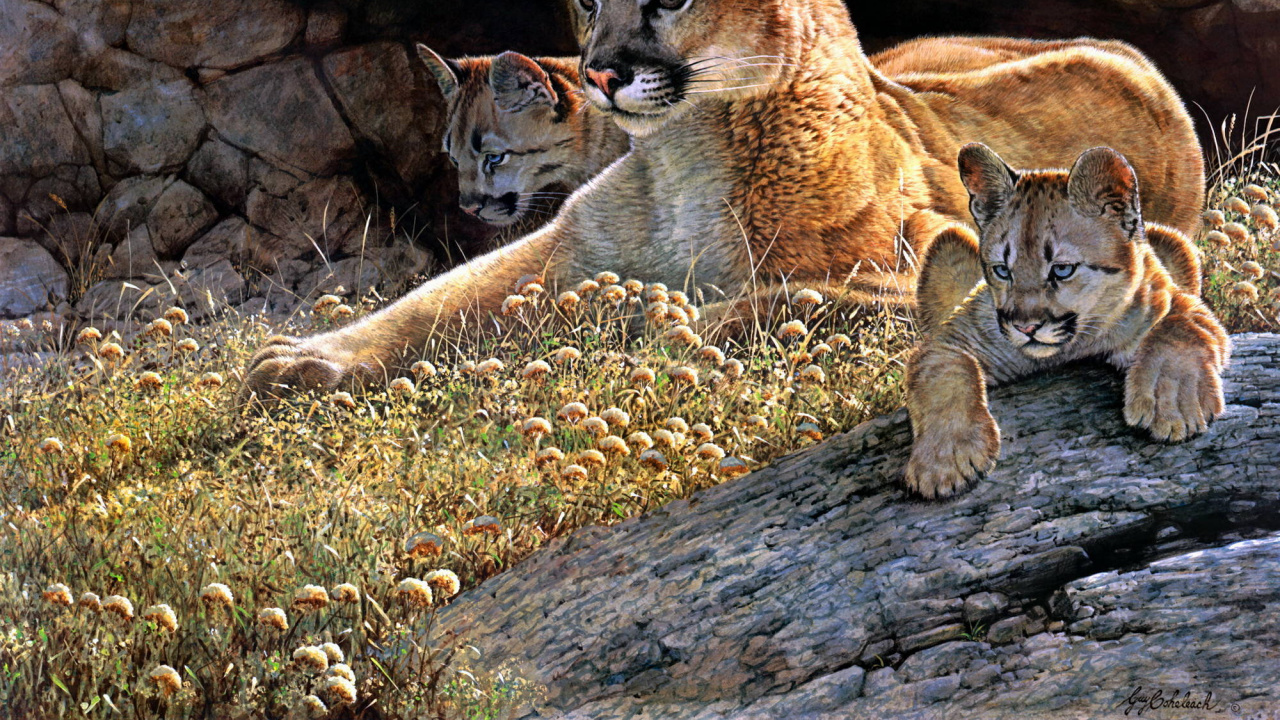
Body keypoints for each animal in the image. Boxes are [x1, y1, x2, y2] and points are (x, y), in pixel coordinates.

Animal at [905, 144, 1229, 499]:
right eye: (1002, 271)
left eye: (1061, 269)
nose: (1025, 327)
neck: (1067, 352)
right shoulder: (950, 339)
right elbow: (945, 374)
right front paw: (945, 460)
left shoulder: (1173, 302)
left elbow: (1179, 331)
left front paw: (1171, 406)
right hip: (946, 241)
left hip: (1177, 243)